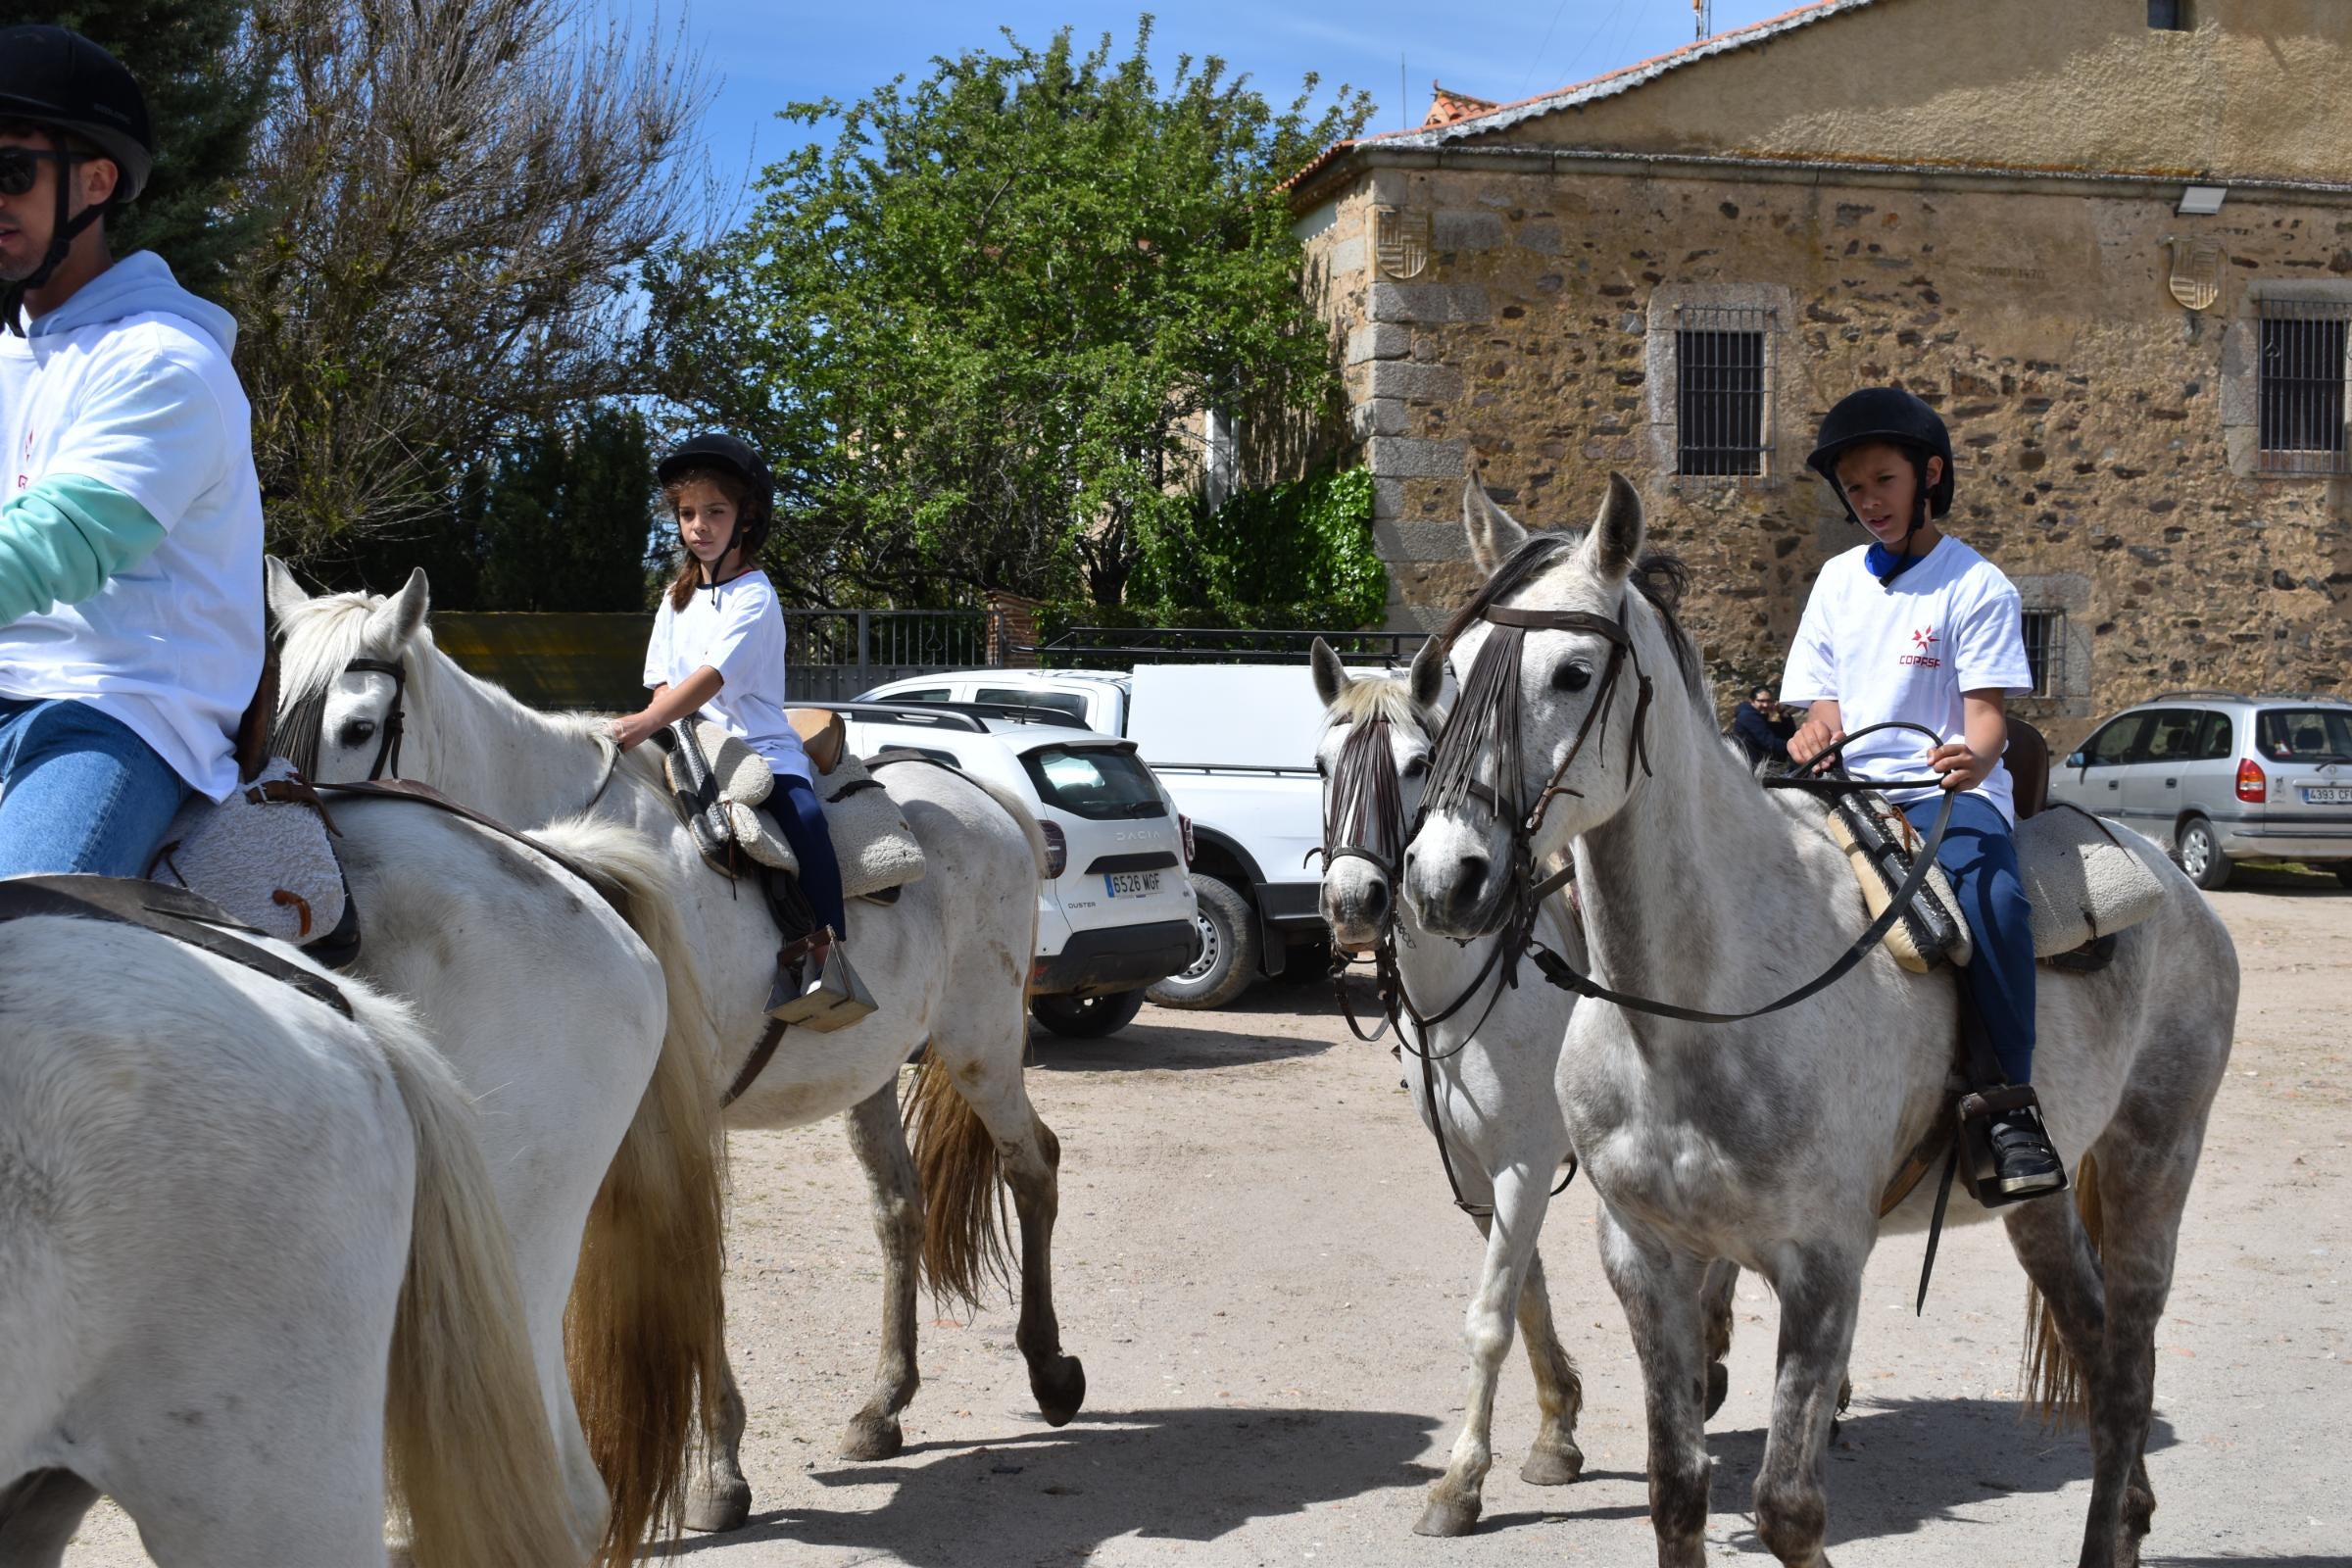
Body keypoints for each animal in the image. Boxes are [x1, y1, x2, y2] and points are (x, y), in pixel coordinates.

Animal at [269, 566, 1082, 1533]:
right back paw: (882, 1408)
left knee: (1033, 1164)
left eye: (357, 727)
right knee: (899, 1211)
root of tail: (990, 804)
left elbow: (695, 1265)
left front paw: (716, 1473)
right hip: (873, 1073)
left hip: (980, 1042)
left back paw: (1051, 1372)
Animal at [1317, 629, 1740, 1542]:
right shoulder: (1480, 1173)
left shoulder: (1525, 1163)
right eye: (1321, 762)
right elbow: (1527, 1295)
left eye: (1416, 764)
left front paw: (1459, 1483)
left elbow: (1488, 1319)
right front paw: (1556, 1432)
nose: (1354, 901)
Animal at [1392, 479, 2238, 1568]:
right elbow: (1677, 1489)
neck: (1694, 1016)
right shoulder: (1645, 1259)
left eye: (1573, 673)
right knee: (2097, 1353)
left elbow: (1788, 1505)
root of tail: (2172, 880)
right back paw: (2126, 1518)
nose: (1443, 878)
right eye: (1446, 679)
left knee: (2129, 1365)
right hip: (2042, 1205)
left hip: (2150, 1163)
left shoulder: (1825, 1264)